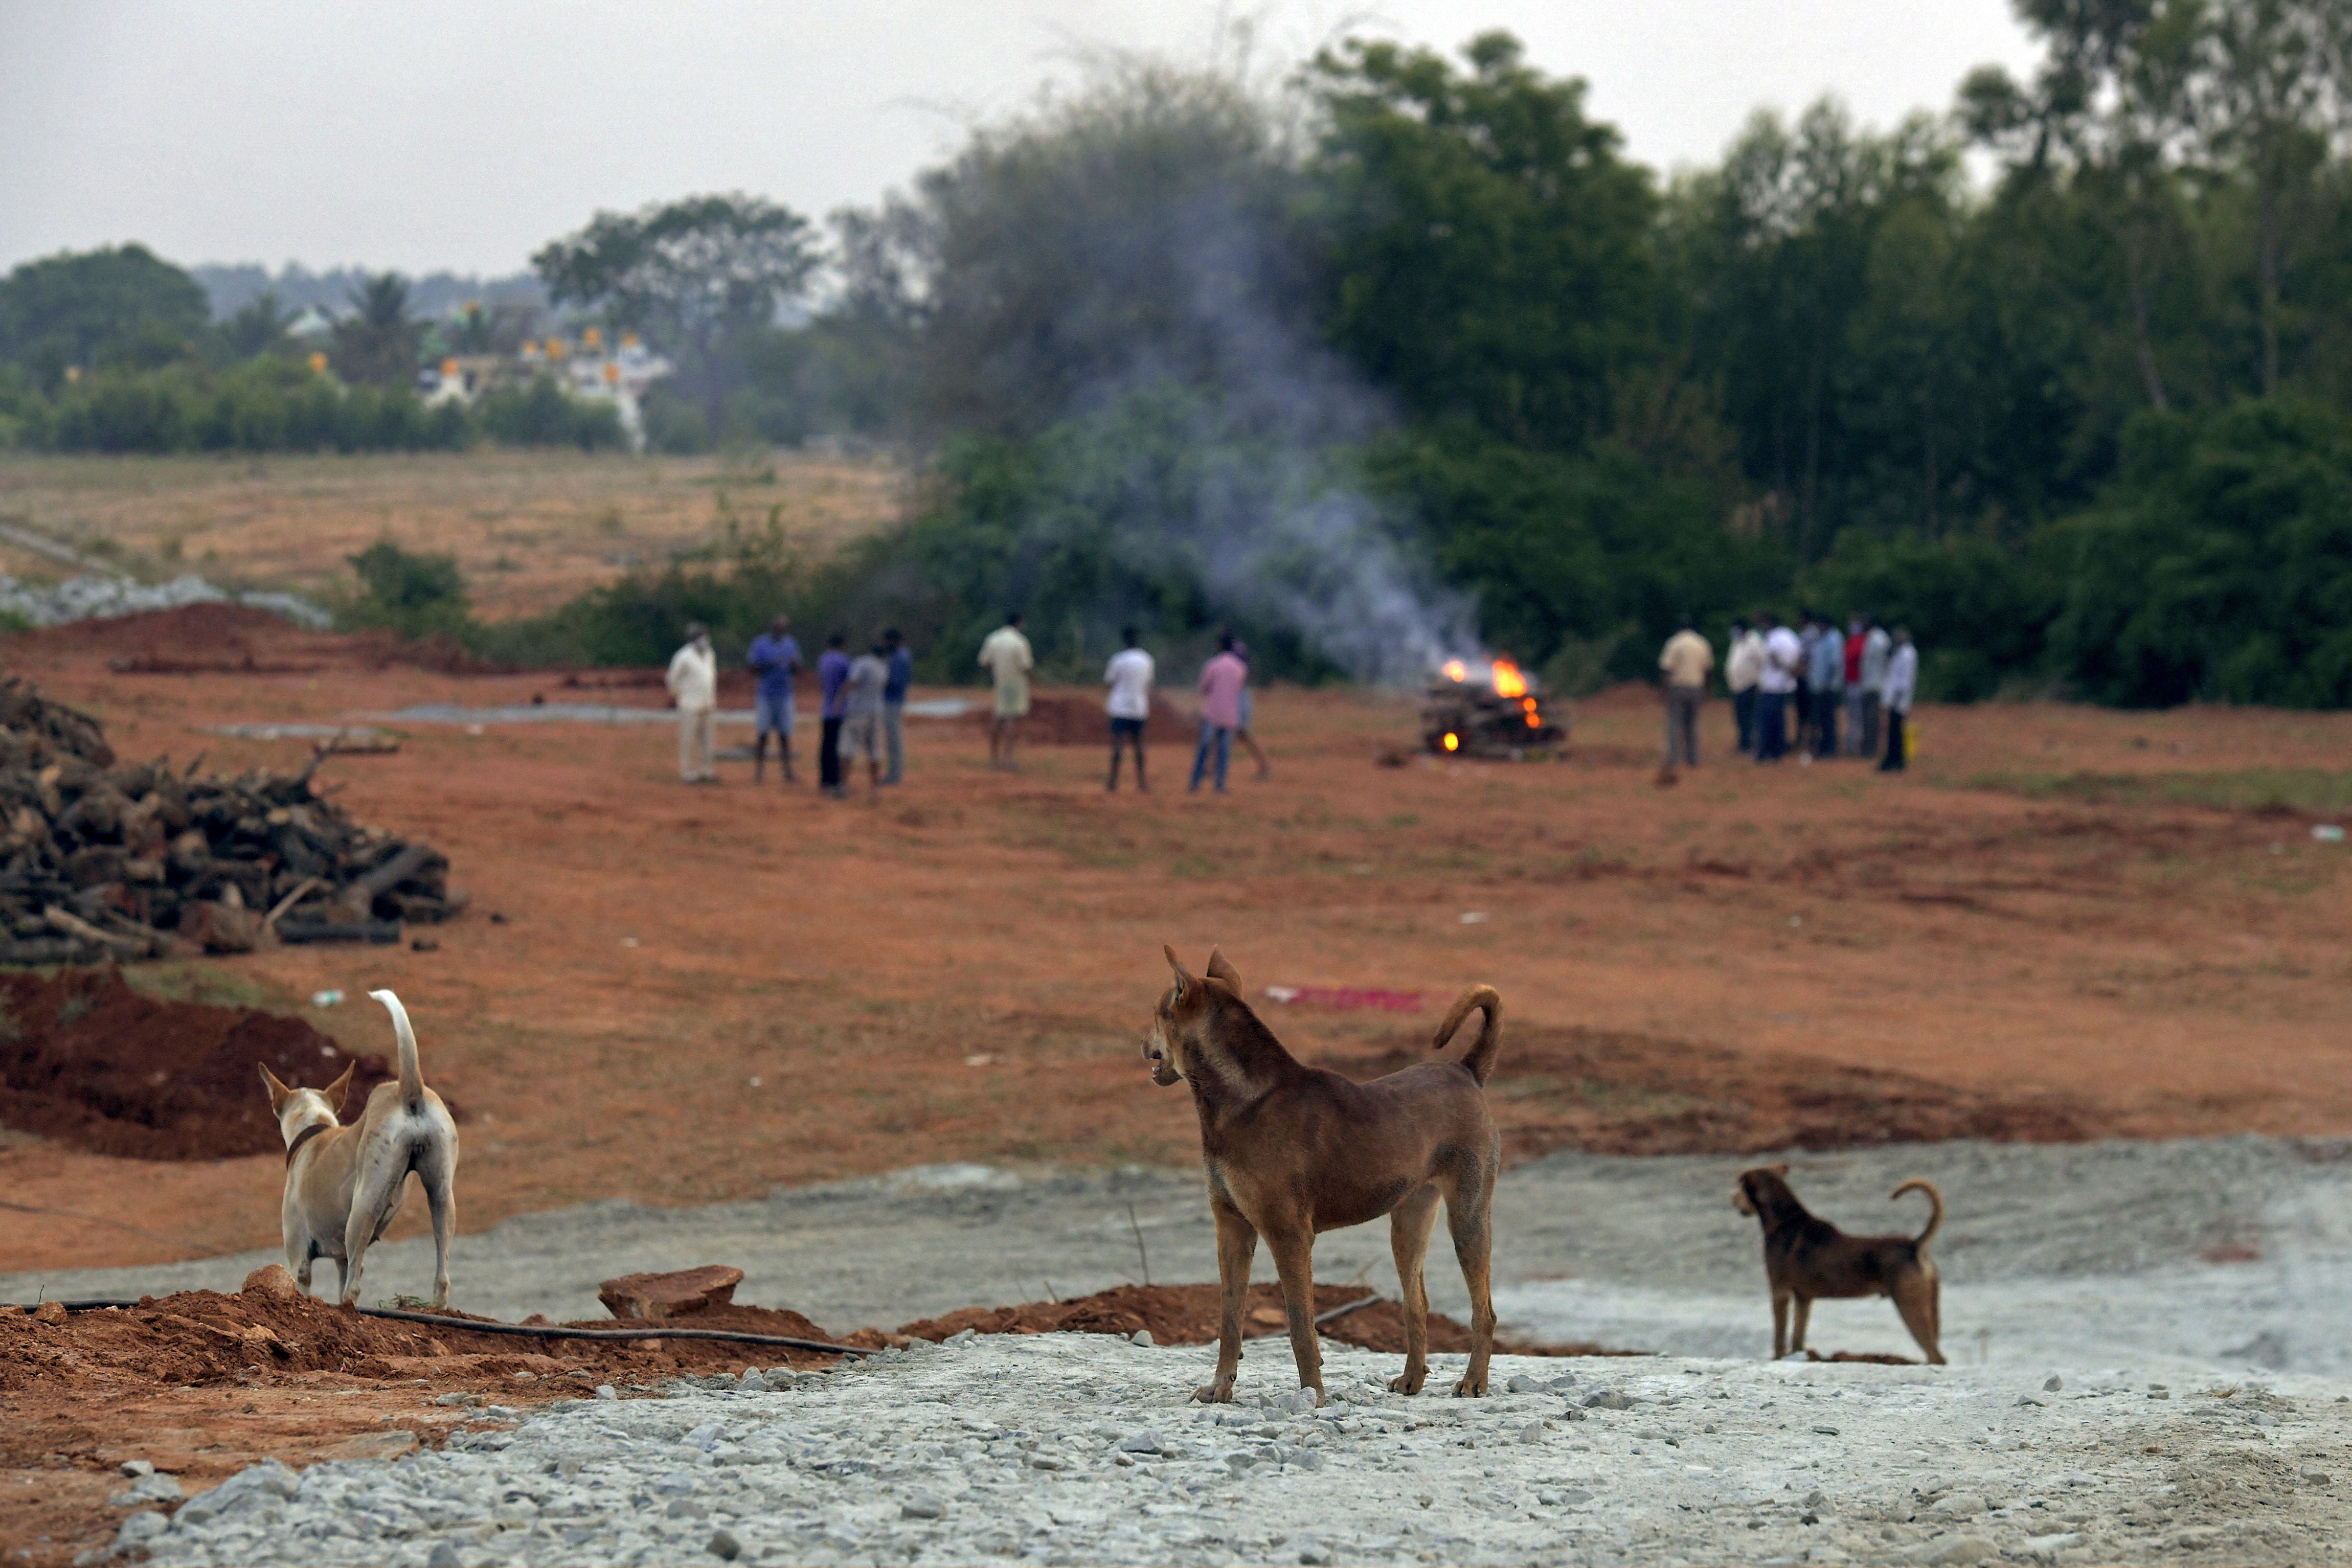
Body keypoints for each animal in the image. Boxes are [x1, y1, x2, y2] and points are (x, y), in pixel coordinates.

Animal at [260, 992, 461, 1316]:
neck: (314, 1127)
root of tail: (407, 1090)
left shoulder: (299, 1259)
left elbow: (306, 1283)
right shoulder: (341, 1256)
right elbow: (344, 1270)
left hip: (365, 1207)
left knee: (353, 1287)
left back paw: (347, 1309)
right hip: (442, 1196)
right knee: (442, 1273)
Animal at [1143, 945, 1505, 1410]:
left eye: (1157, 1012)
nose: (1142, 1044)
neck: (1245, 1099)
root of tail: (1466, 1070)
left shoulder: (1289, 1233)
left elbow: (1300, 1325)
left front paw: (1312, 1394)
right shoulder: (1232, 1227)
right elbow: (1229, 1318)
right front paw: (1220, 1388)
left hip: (1469, 1213)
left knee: (1485, 1310)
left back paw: (1474, 1381)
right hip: (1409, 1219)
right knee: (1417, 1303)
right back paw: (1412, 1379)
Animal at [1731, 1161, 1947, 1363]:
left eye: (1742, 1187)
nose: (1733, 1199)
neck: (1784, 1221)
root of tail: (1915, 1246)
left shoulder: (1780, 1291)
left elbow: (1779, 1335)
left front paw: (1777, 1358)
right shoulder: (1803, 1298)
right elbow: (1798, 1337)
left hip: (1909, 1305)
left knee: (1936, 1356)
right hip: (1931, 1305)